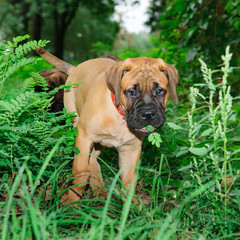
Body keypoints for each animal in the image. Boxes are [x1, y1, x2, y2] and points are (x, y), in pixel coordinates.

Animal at [35, 47, 178, 204]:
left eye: (159, 91)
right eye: (132, 92)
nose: (148, 114)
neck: (120, 116)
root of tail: (75, 68)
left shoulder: (131, 150)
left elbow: (128, 182)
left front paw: (131, 206)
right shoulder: (84, 137)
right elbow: (81, 172)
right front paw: (72, 200)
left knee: (93, 160)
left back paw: (100, 190)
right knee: (89, 161)